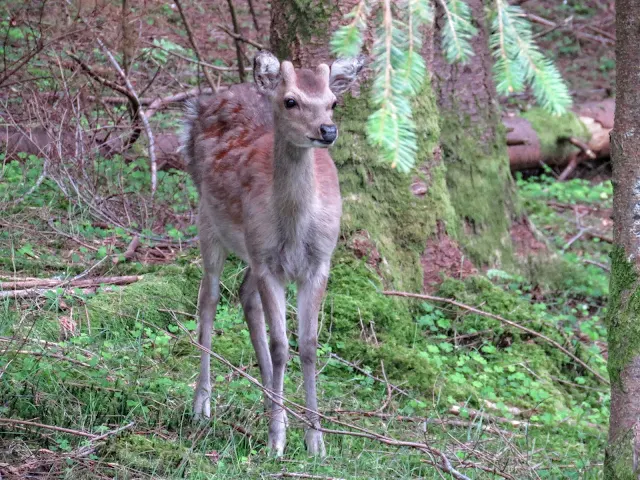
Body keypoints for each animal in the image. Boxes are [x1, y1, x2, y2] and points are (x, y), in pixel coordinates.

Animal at [181, 50, 364, 456]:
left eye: (333, 102)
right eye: (291, 101)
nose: (328, 130)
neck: (294, 228)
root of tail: (206, 101)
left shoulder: (318, 263)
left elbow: (309, 346)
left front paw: (316, 441)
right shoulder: (269, 264)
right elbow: (281, 346)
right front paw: (276, 440)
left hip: (252, 250)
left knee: (245, 294)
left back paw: (269, 401)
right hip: (209, 220)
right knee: (208, 300)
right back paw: (203, 404)